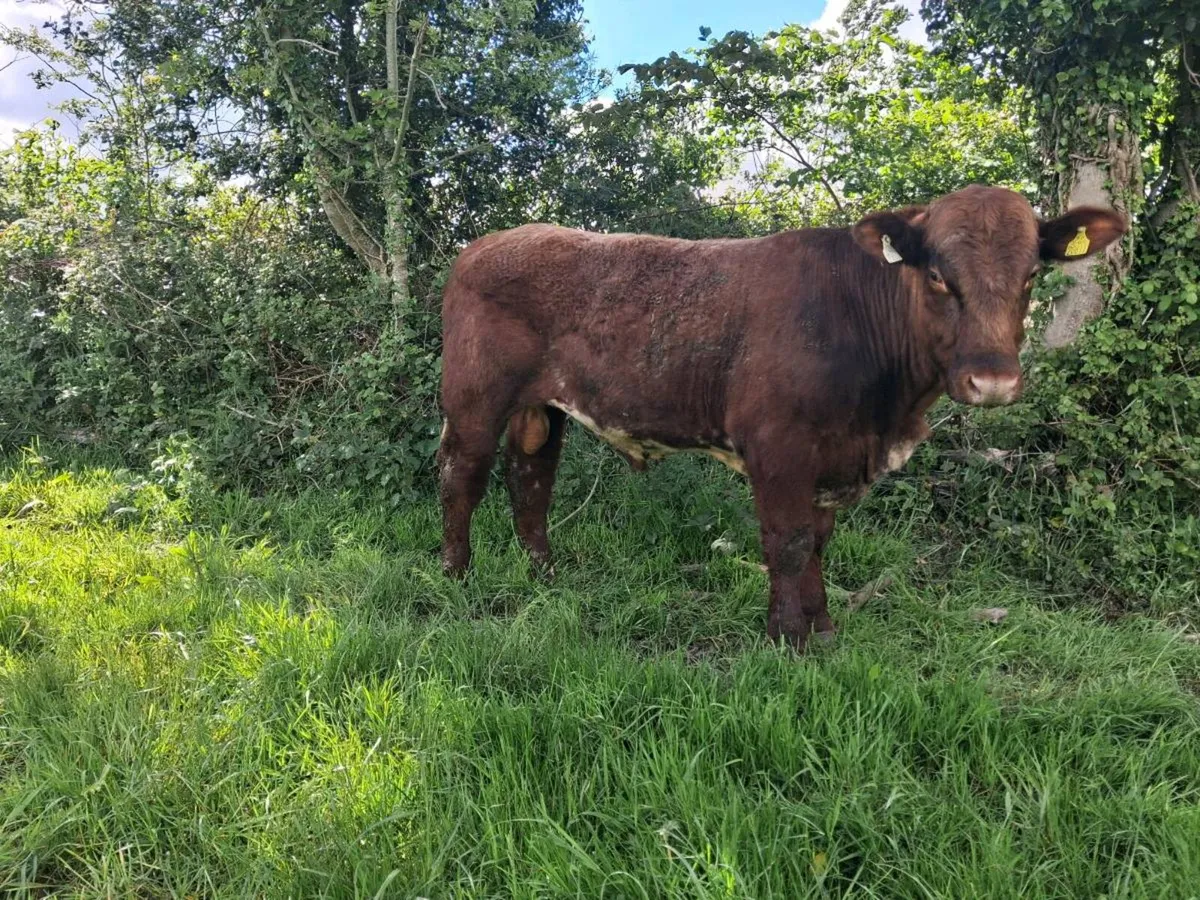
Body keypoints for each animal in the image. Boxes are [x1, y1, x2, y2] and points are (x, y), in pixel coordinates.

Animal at [436, 185, 1126, 650]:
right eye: (936, 275)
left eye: (1032, 274)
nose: (993, 380)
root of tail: (486, 243)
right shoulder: (779, 444)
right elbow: (788, 543)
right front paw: (788, 639)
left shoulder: (834, 456)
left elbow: (817, 541)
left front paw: (819, 628)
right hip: (474, 394)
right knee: (462, 474)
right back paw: (456, 577)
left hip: (541, 407)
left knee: (530, 480)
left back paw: (543, 576)